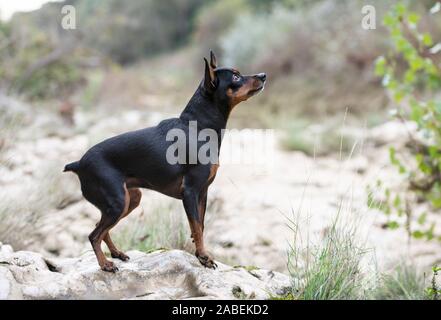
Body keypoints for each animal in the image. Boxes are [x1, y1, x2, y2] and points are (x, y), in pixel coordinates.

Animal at [63, 51, 266, 272]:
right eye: (236, 77)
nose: (263, 75)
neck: (196, 127)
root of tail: (79, 164)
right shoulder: (190, 192)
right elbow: (197, 227)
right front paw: (204, 257)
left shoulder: (202, 193)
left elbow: (200, 226)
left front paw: (199, 254)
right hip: (117, 202)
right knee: (94, 235)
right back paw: (105, 264)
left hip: (129, 199)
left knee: (100, 230)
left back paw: (116, 254)